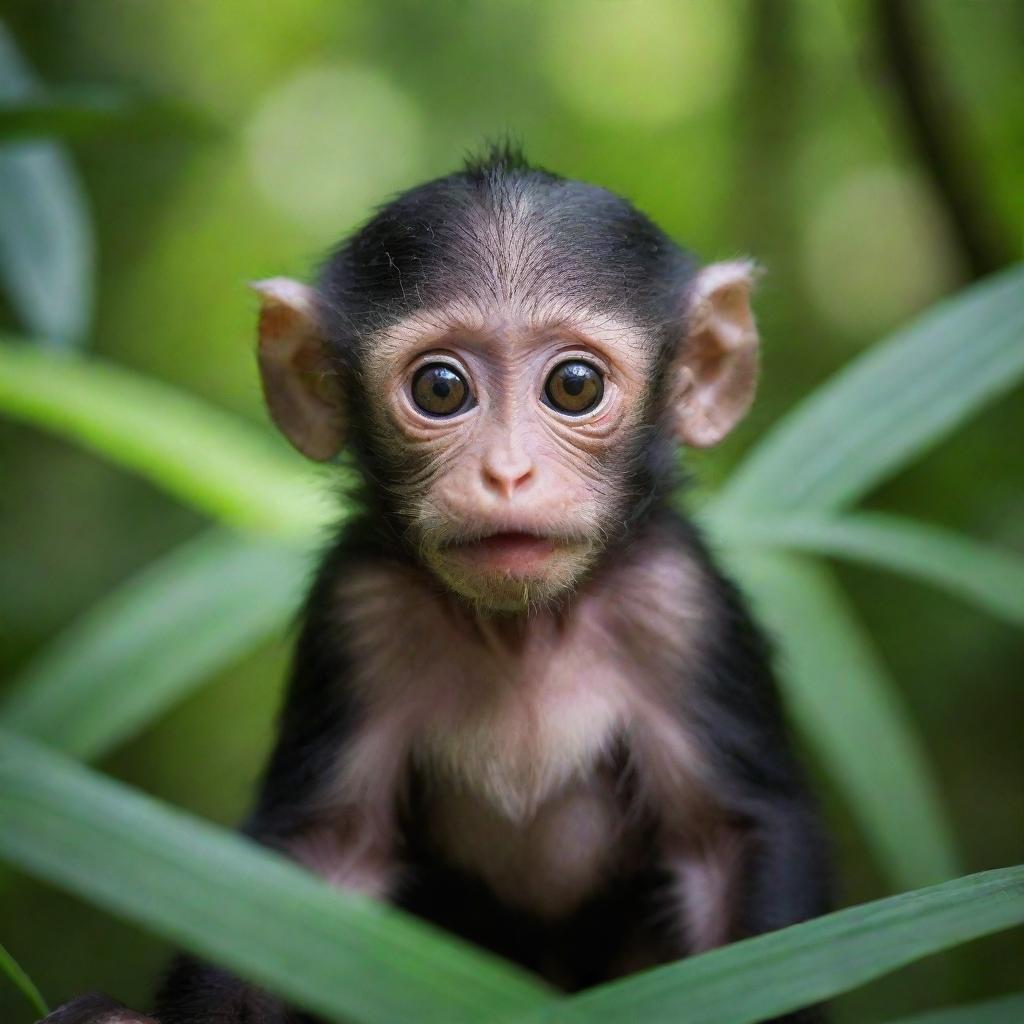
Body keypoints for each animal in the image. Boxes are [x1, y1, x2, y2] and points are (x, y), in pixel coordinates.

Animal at [49, 146, 831, 1024]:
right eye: (440, 389)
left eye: (574, 386)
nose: (507, 471)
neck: (521, 629)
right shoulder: (357, 613)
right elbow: (315, 858)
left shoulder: (680, 604)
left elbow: (728, 840)